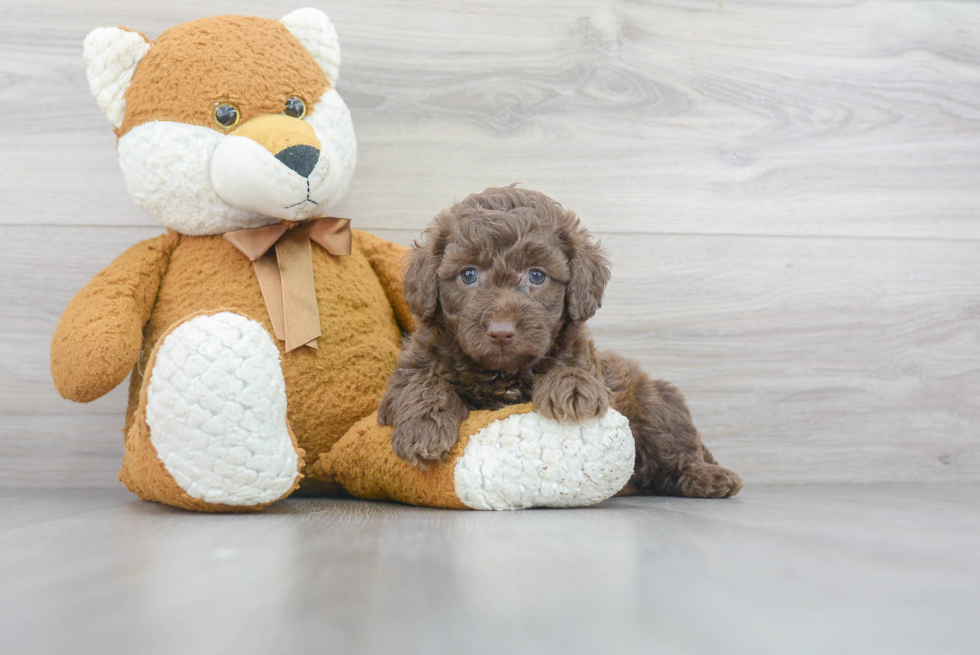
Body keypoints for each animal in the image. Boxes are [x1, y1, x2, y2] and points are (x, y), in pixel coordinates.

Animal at [378, 187, 740, 500]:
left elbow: (573, 370)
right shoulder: (406, 375)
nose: (501, 331)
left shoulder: (591, 367)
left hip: (656, 404)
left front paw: (571, 389)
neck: (504, 374)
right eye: (468, 275)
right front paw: (424, 428)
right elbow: (424, 383)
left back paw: (708, 477)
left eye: (537, 275)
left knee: (675, 452)